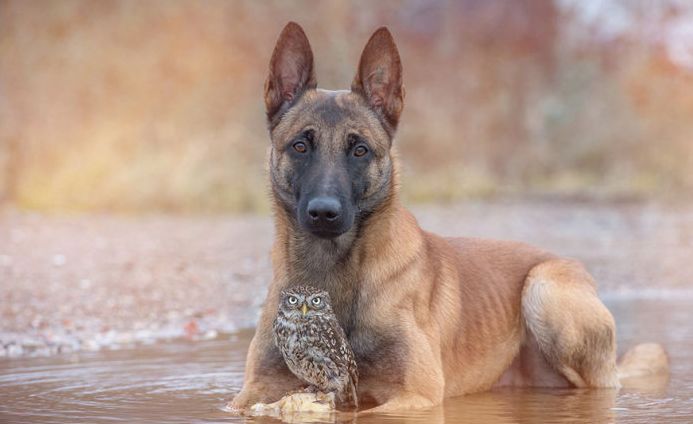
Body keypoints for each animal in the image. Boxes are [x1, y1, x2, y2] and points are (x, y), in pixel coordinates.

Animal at [230, 21, 668, 412]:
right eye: (300, 146)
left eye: (360, 150)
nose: (324, 213)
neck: (329, 270)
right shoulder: (253, 390)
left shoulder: (415, 396)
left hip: (544, 290)